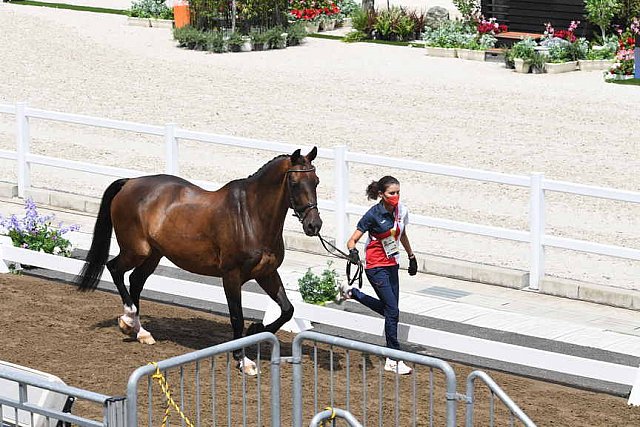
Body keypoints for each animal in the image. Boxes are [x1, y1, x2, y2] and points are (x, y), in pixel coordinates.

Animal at [75, 148, 322, 374]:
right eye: (295, 183)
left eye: (316, 182)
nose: (314, 225)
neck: (251, 216)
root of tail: (130, 183)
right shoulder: (231, 276)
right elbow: (237, 317)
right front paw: (243, 359)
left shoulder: (267, 273)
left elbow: (287, 309)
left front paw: (256, 329)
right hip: (137, 250)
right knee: (115, 269)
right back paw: (128, 318)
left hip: (154, 254)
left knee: (135, 280)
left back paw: (139, 331)